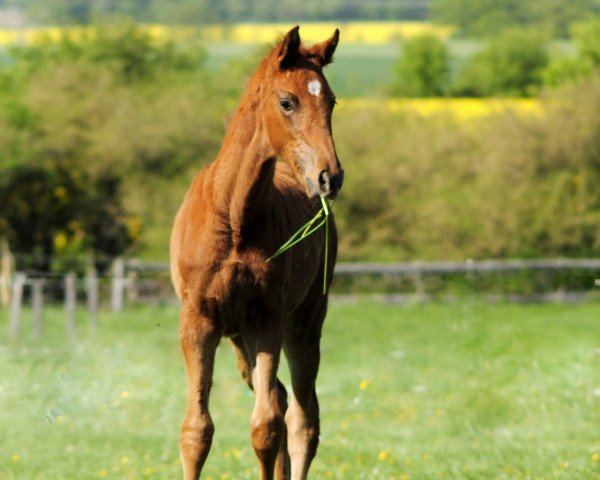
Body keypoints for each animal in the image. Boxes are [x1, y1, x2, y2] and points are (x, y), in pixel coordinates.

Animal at [171, 27, 344, 480]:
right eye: (287, 101)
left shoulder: (267, 320)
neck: (234, 217)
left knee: (301, 418)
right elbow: (196, 430)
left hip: (305, 321)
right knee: (283, 400)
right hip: (238, 337)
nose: (330, 177)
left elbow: (265, 426)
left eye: (331, 101)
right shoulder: (198, 322)